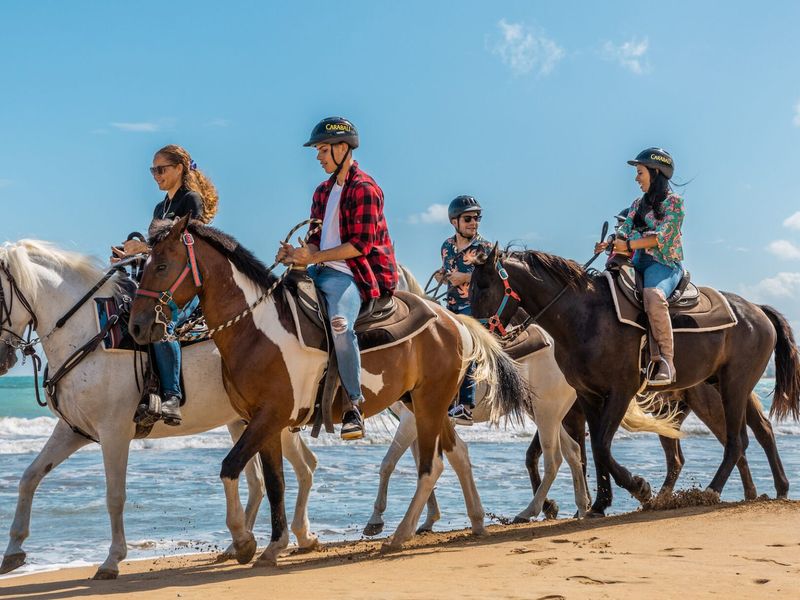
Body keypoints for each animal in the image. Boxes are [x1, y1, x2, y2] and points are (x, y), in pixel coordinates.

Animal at [0, 241, 318, 580]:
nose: (3, 359)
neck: (90, 334)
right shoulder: (73, 431)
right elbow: (30, 477)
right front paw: (13, 551)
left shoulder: (114, 433)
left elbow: (115, 496)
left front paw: (112, 559)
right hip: (243, 423)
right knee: (259, 481)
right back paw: (242, 543)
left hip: (276, 421)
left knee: (304, 468)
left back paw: (299, 536)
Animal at [131, 217, 532, 568]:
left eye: (162, 265)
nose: (137, 326)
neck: (257, 330)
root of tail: (453, 320)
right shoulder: (264, 423)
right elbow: (274, 483)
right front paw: (273, 546)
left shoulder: (269, 417)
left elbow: (230, 467)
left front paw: (244, 542)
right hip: (420, 402)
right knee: (457, 454)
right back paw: (475, 522)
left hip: (430, 403)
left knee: (430, 467)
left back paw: (399, 535)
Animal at [468, 244, 800, 516]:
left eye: (483, 286)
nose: (478, 335)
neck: (584, 317)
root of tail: (757, 310)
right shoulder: (588, 396)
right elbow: (596, 450)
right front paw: (600, 504)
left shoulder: (620, 391)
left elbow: (601, 446)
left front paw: (638, 487)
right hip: (723, 387)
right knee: (753, 433)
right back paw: (776, 488)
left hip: (733, 387)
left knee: (737, 440)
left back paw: (711, 491)